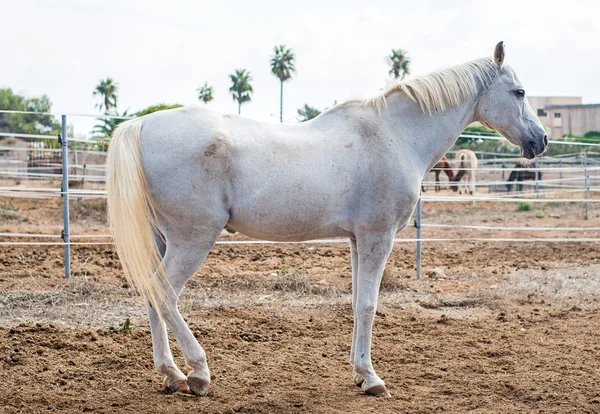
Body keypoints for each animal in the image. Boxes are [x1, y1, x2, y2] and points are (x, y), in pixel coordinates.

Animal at [104, 42, 548, 398]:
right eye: (520, 91)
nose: (540, 140)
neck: (395, 135)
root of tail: (141, 124)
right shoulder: (377, 237)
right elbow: (368, 304)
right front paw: (372, 379)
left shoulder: (356, 240)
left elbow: (355, 302)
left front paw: (358, 372)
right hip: (193, 239)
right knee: (165, 293)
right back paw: (197, 373)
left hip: (163, 239)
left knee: (152, 295)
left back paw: (171, 375)